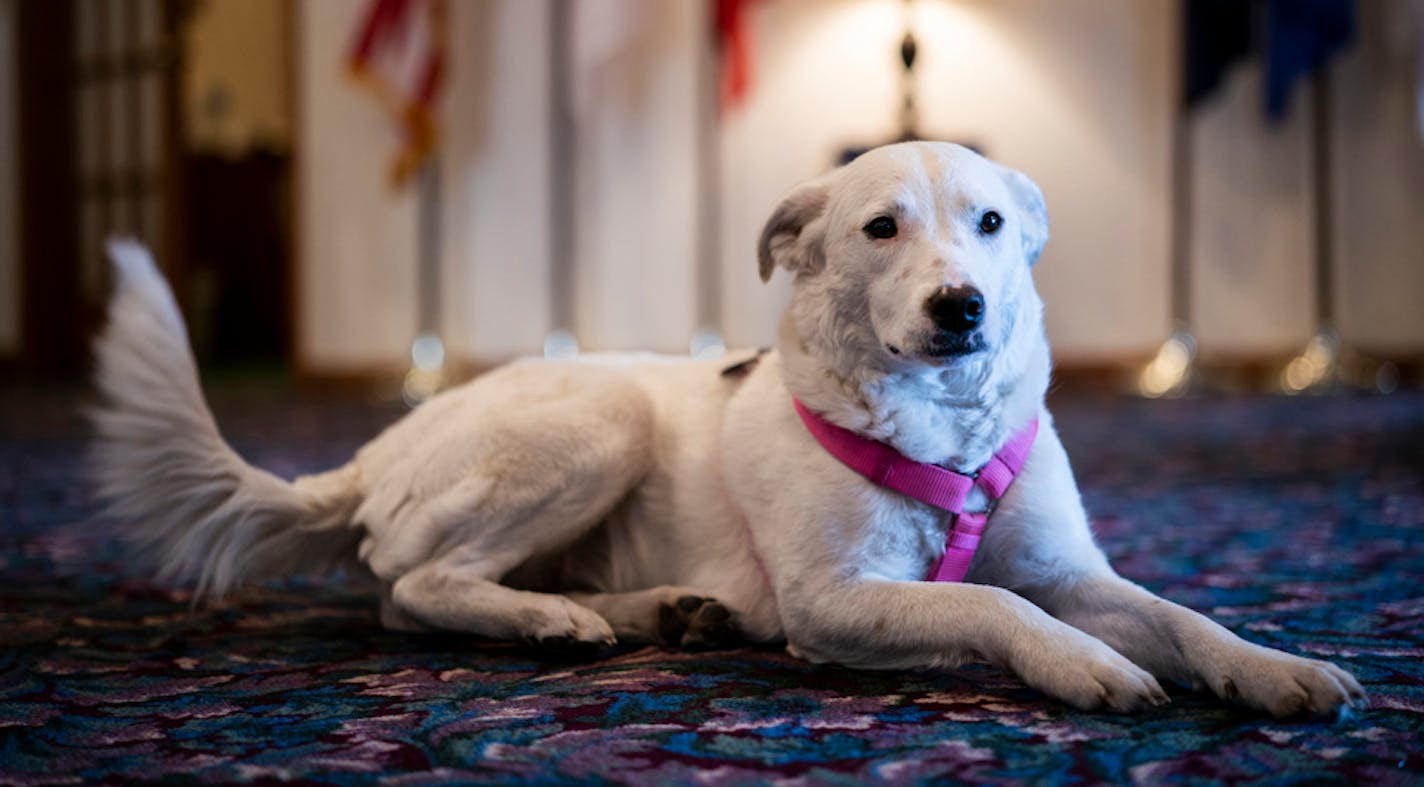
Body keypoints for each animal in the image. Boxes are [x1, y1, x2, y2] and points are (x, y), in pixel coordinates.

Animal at [94, 138, 1361, 714]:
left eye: (991, 223)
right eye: (880, 228)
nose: (960, 306)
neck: (941, 433)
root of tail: (381, 445)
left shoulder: (1067, 566)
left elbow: (1178, 616)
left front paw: (1275, 667)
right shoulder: (832, 600)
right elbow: (986, 603)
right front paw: (1085, 663)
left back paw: (655, 609)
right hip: (594, 419)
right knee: (407, 586)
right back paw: (545, 618)